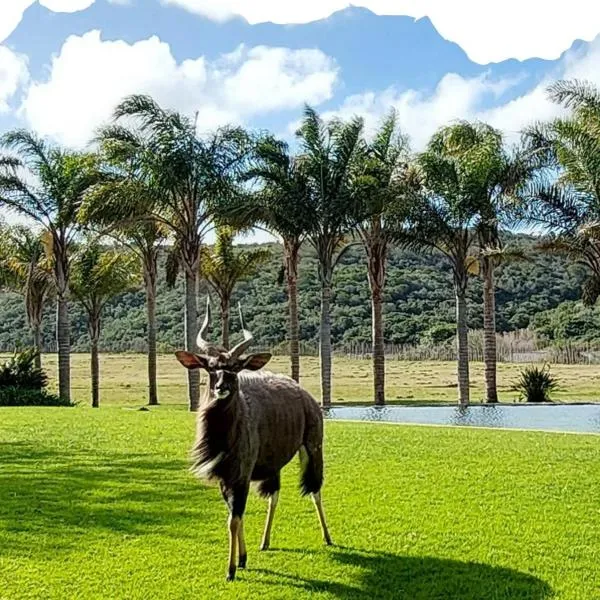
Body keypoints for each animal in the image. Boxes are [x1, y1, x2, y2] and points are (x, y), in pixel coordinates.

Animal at [176, 300, 332, 580]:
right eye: (211, 366)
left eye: (235, 367)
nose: (221, 388)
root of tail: (307, 397)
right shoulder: (227, 478)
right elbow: (235, 516)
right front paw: (242, 558)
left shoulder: (240, 476)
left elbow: (234, 519)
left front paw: (231, 570)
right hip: (275, 466)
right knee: (275, 495)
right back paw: (265, 542)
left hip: (313, 448)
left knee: (315, 490)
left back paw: (327, 537)